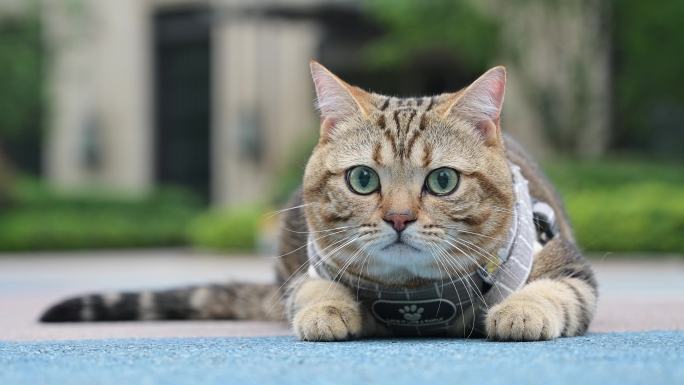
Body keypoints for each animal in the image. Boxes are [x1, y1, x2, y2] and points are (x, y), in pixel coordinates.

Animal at [44, 63, 600, 342]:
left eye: (442, 181)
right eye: (363, 179)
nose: (399, 217)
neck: (416, 299)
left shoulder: (569, 266)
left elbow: (556, 290)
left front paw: (520, 309)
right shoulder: (306, 271)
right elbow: (311, 291)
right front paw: (328, 309)